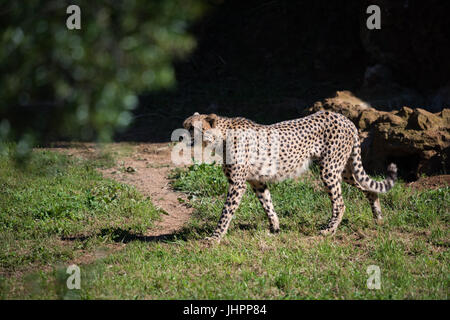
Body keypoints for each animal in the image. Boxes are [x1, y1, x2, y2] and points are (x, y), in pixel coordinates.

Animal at [181, 110, 396, 242]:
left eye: (192, 128)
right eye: (184, 124)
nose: (181, 136)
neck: (222, 136)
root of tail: (345, 118)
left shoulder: (237, 184)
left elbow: (226, 212)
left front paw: (215, 237)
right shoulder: (257, 181)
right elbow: (268, 204)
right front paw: (275, 228)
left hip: (329, 170)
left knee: (340, 203)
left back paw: (329, 230)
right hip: (343, 170)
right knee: (368, 188)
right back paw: (378, 218)